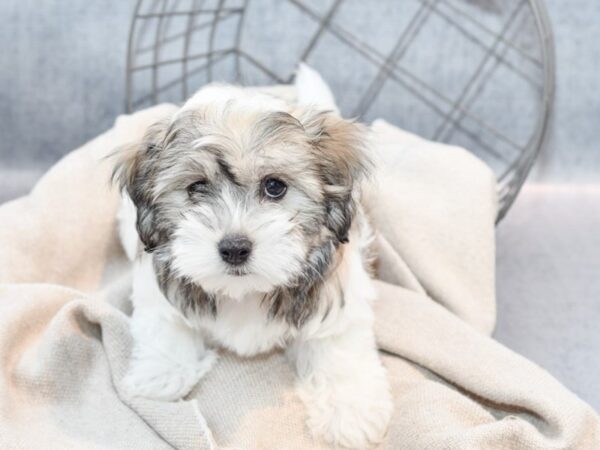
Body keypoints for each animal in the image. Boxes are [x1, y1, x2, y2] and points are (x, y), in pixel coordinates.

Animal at [113, 65, 394, 448]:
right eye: (197, 188)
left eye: (274, 186)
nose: (234, 248)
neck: (244, 292)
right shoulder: (158, 285)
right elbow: (165, 327)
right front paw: (161, 374)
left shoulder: (337, 298)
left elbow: (339, 349)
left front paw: (350, 412)